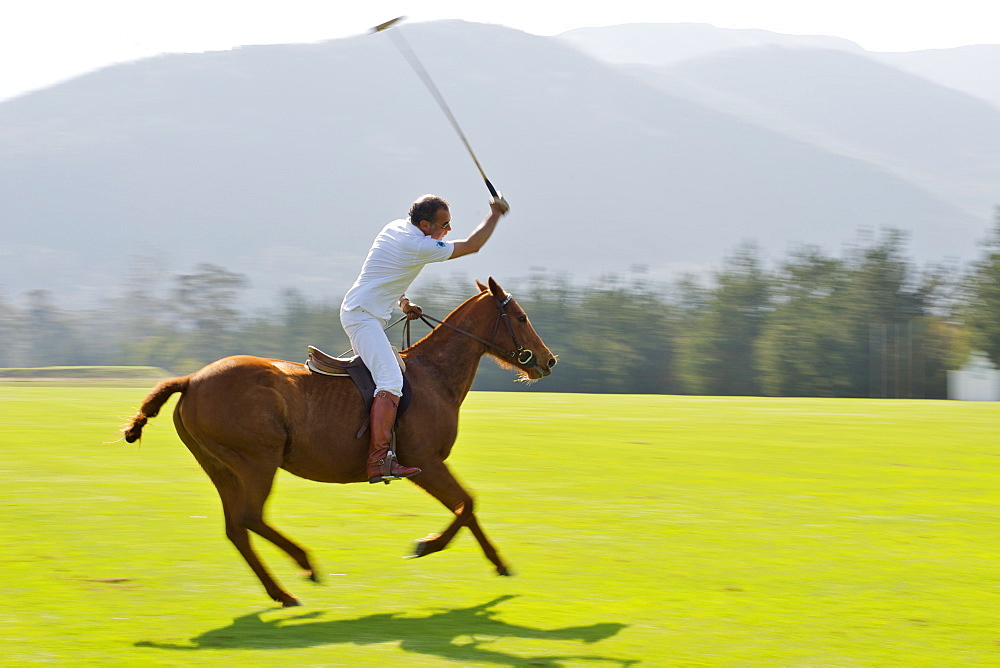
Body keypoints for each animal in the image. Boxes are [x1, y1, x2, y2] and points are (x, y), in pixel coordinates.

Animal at [122, 276, 560, 604]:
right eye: (520, 317)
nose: (548, 360)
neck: (435, 375)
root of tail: (191, 380)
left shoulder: (430, 464)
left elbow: (467, 505)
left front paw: (497, 563)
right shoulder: (425, 462)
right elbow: (467, 503)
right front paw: (429, 546)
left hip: (221, 467)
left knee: (237, 528)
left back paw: (281, 592)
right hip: (256, 462)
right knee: (249, 518)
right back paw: (305, 564)